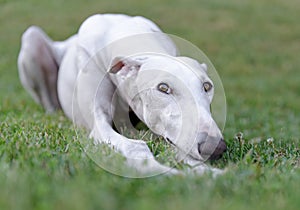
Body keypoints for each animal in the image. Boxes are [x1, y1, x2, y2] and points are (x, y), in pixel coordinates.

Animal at [17, 13, 226, 176]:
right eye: (163, 88)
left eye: (207, 86)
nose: (215, 147)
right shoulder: (99, 124)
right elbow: (137, 147)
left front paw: (208, 172)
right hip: (32, 39)